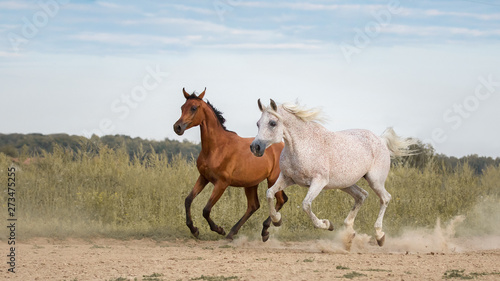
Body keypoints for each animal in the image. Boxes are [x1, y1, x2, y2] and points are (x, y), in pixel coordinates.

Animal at [174, 88, 288, 241]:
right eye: (182, 107)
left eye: (193, 108)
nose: (177, 127)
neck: (216, 147)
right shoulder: (203, 178)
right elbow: (188, 200)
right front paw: (194, 230)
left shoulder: (221, 183)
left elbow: (206, 210)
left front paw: (219, 229)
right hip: (251, 184)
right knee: (253, 205)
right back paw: (232, 233)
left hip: (272, 179)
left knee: (280, 200)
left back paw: (266, 230)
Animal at [250, 98, 418, 247]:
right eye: (258, 123)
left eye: (272, 123)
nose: (255, 147)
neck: (302, 146)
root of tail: (381, 140)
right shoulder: (287, 178)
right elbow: (269, 193)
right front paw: (277, 220)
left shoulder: (318, 182)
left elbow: (306, 205)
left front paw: (326, 224)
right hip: (346, 183)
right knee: (362, 195)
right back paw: (349, 234)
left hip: (375, 181)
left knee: (385, 198)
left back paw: (379, 236)